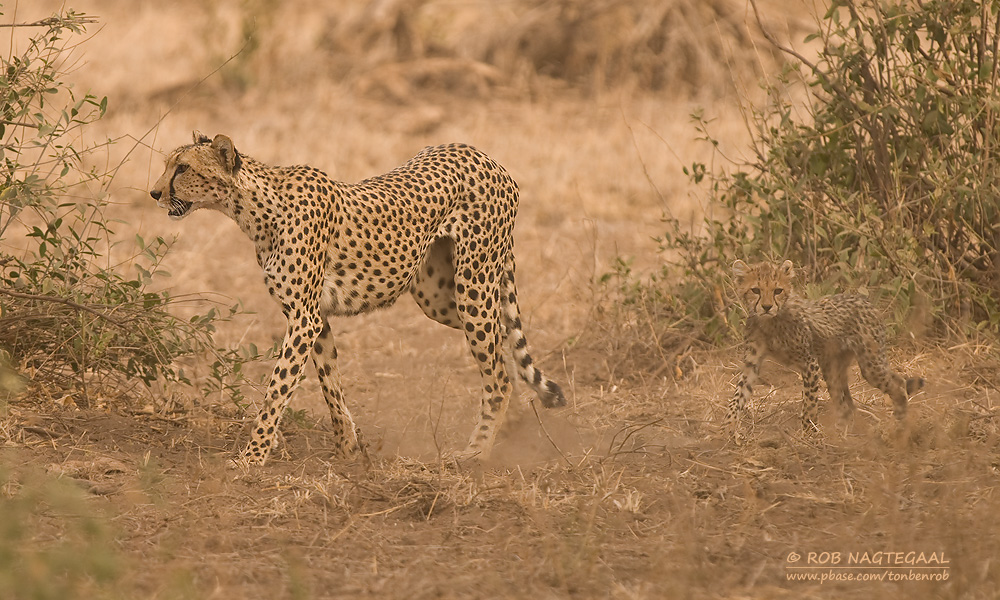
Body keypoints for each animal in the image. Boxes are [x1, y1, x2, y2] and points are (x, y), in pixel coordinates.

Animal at [148, 134, 564, 466]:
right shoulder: (315, 317)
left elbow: (276, 391)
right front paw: (348, 446)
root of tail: (483, 154)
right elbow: (330, 384)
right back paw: (510, 428)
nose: (154, 193)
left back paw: (478, 450)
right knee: (503, 350)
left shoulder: (303, 319)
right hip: (438, 296)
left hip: (473, 286)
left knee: (497, 370)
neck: (256, 209)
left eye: (182, 168)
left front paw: (252, 458)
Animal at [724, 260, 924, 438]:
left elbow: (809, 402)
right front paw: (729, 426)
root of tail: (865, 300)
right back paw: (841, 433)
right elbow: (739, 394)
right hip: (833, 369)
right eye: (755, 290)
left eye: (777, 291)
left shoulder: (809, 362)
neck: (770, 321)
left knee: (897, 385)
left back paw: (898, 426)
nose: (766, 307)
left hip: (870, 364)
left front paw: (808, 433)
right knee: (846, 405)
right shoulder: (752, 362)